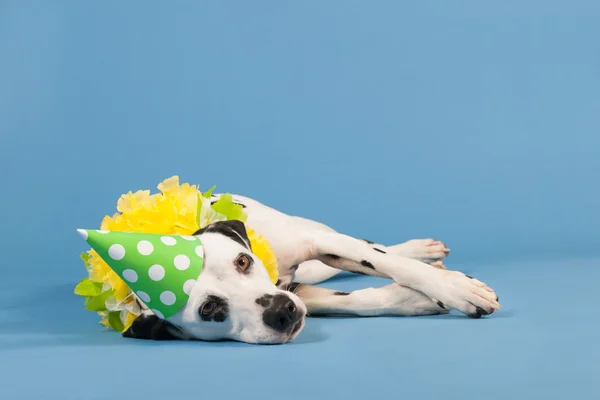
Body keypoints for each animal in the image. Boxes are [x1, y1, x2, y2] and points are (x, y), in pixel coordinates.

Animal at [124, 194, 500, 344]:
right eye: (209, 308)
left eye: (242, 261)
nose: (281, 312)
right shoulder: (298, 292)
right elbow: (351, 299)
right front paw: (413, 300)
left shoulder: (317, 244)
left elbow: (387, 262)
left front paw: (458, 290)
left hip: (310, 233)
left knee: (368, 246)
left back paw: (422, 250)